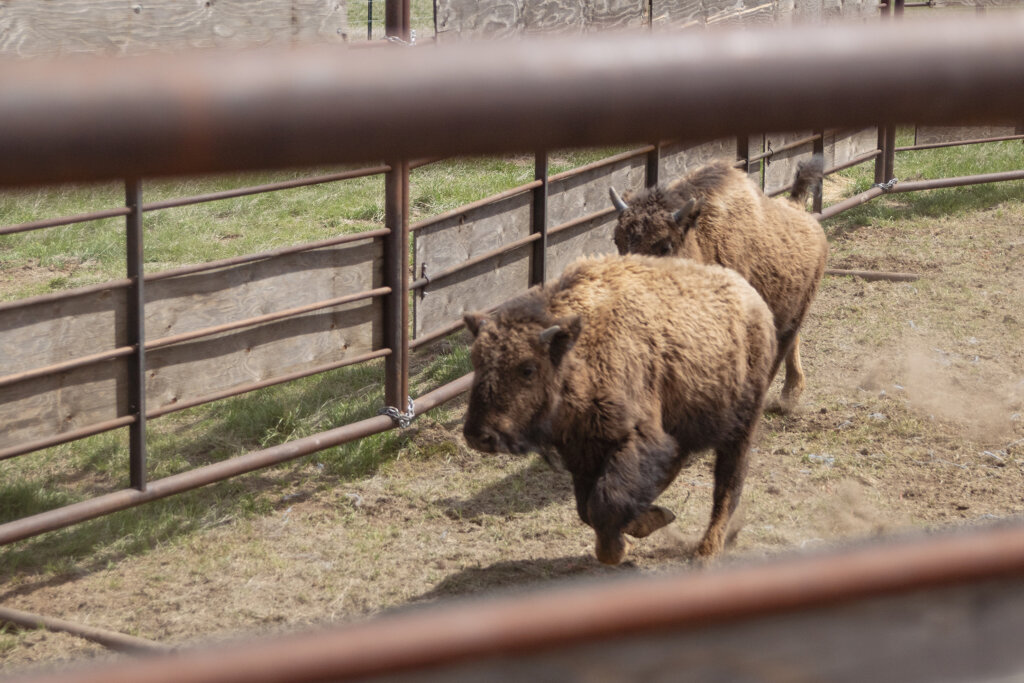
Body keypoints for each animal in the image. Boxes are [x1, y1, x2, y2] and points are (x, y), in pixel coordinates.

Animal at [460, 253, 770, 565]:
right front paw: (642, 527)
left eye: (527, 369)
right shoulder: (583, 451)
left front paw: (617, 550)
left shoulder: (634, 438)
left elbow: (605, 502)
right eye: (476, 360)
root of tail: (753, 299)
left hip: (739, 430)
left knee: (728, 487)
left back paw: (707, 550)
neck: (579, 352)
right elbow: (587, 507)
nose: (479, 436)